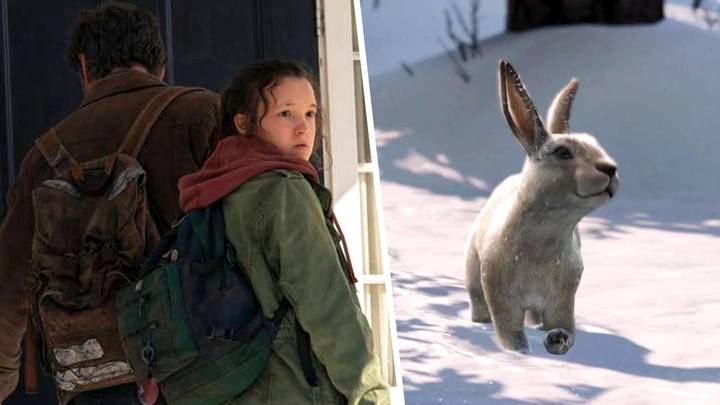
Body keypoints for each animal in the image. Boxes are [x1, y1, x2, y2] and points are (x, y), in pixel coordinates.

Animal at [465, 60, 619, 355]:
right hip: (473, 272)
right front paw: (521, 354)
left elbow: (563, 324)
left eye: (595, 143)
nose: (611, 169)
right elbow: (511, 334)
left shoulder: (563, 296)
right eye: (562, 152)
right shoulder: (501, 295)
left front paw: (557, 340)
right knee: (478, 304)